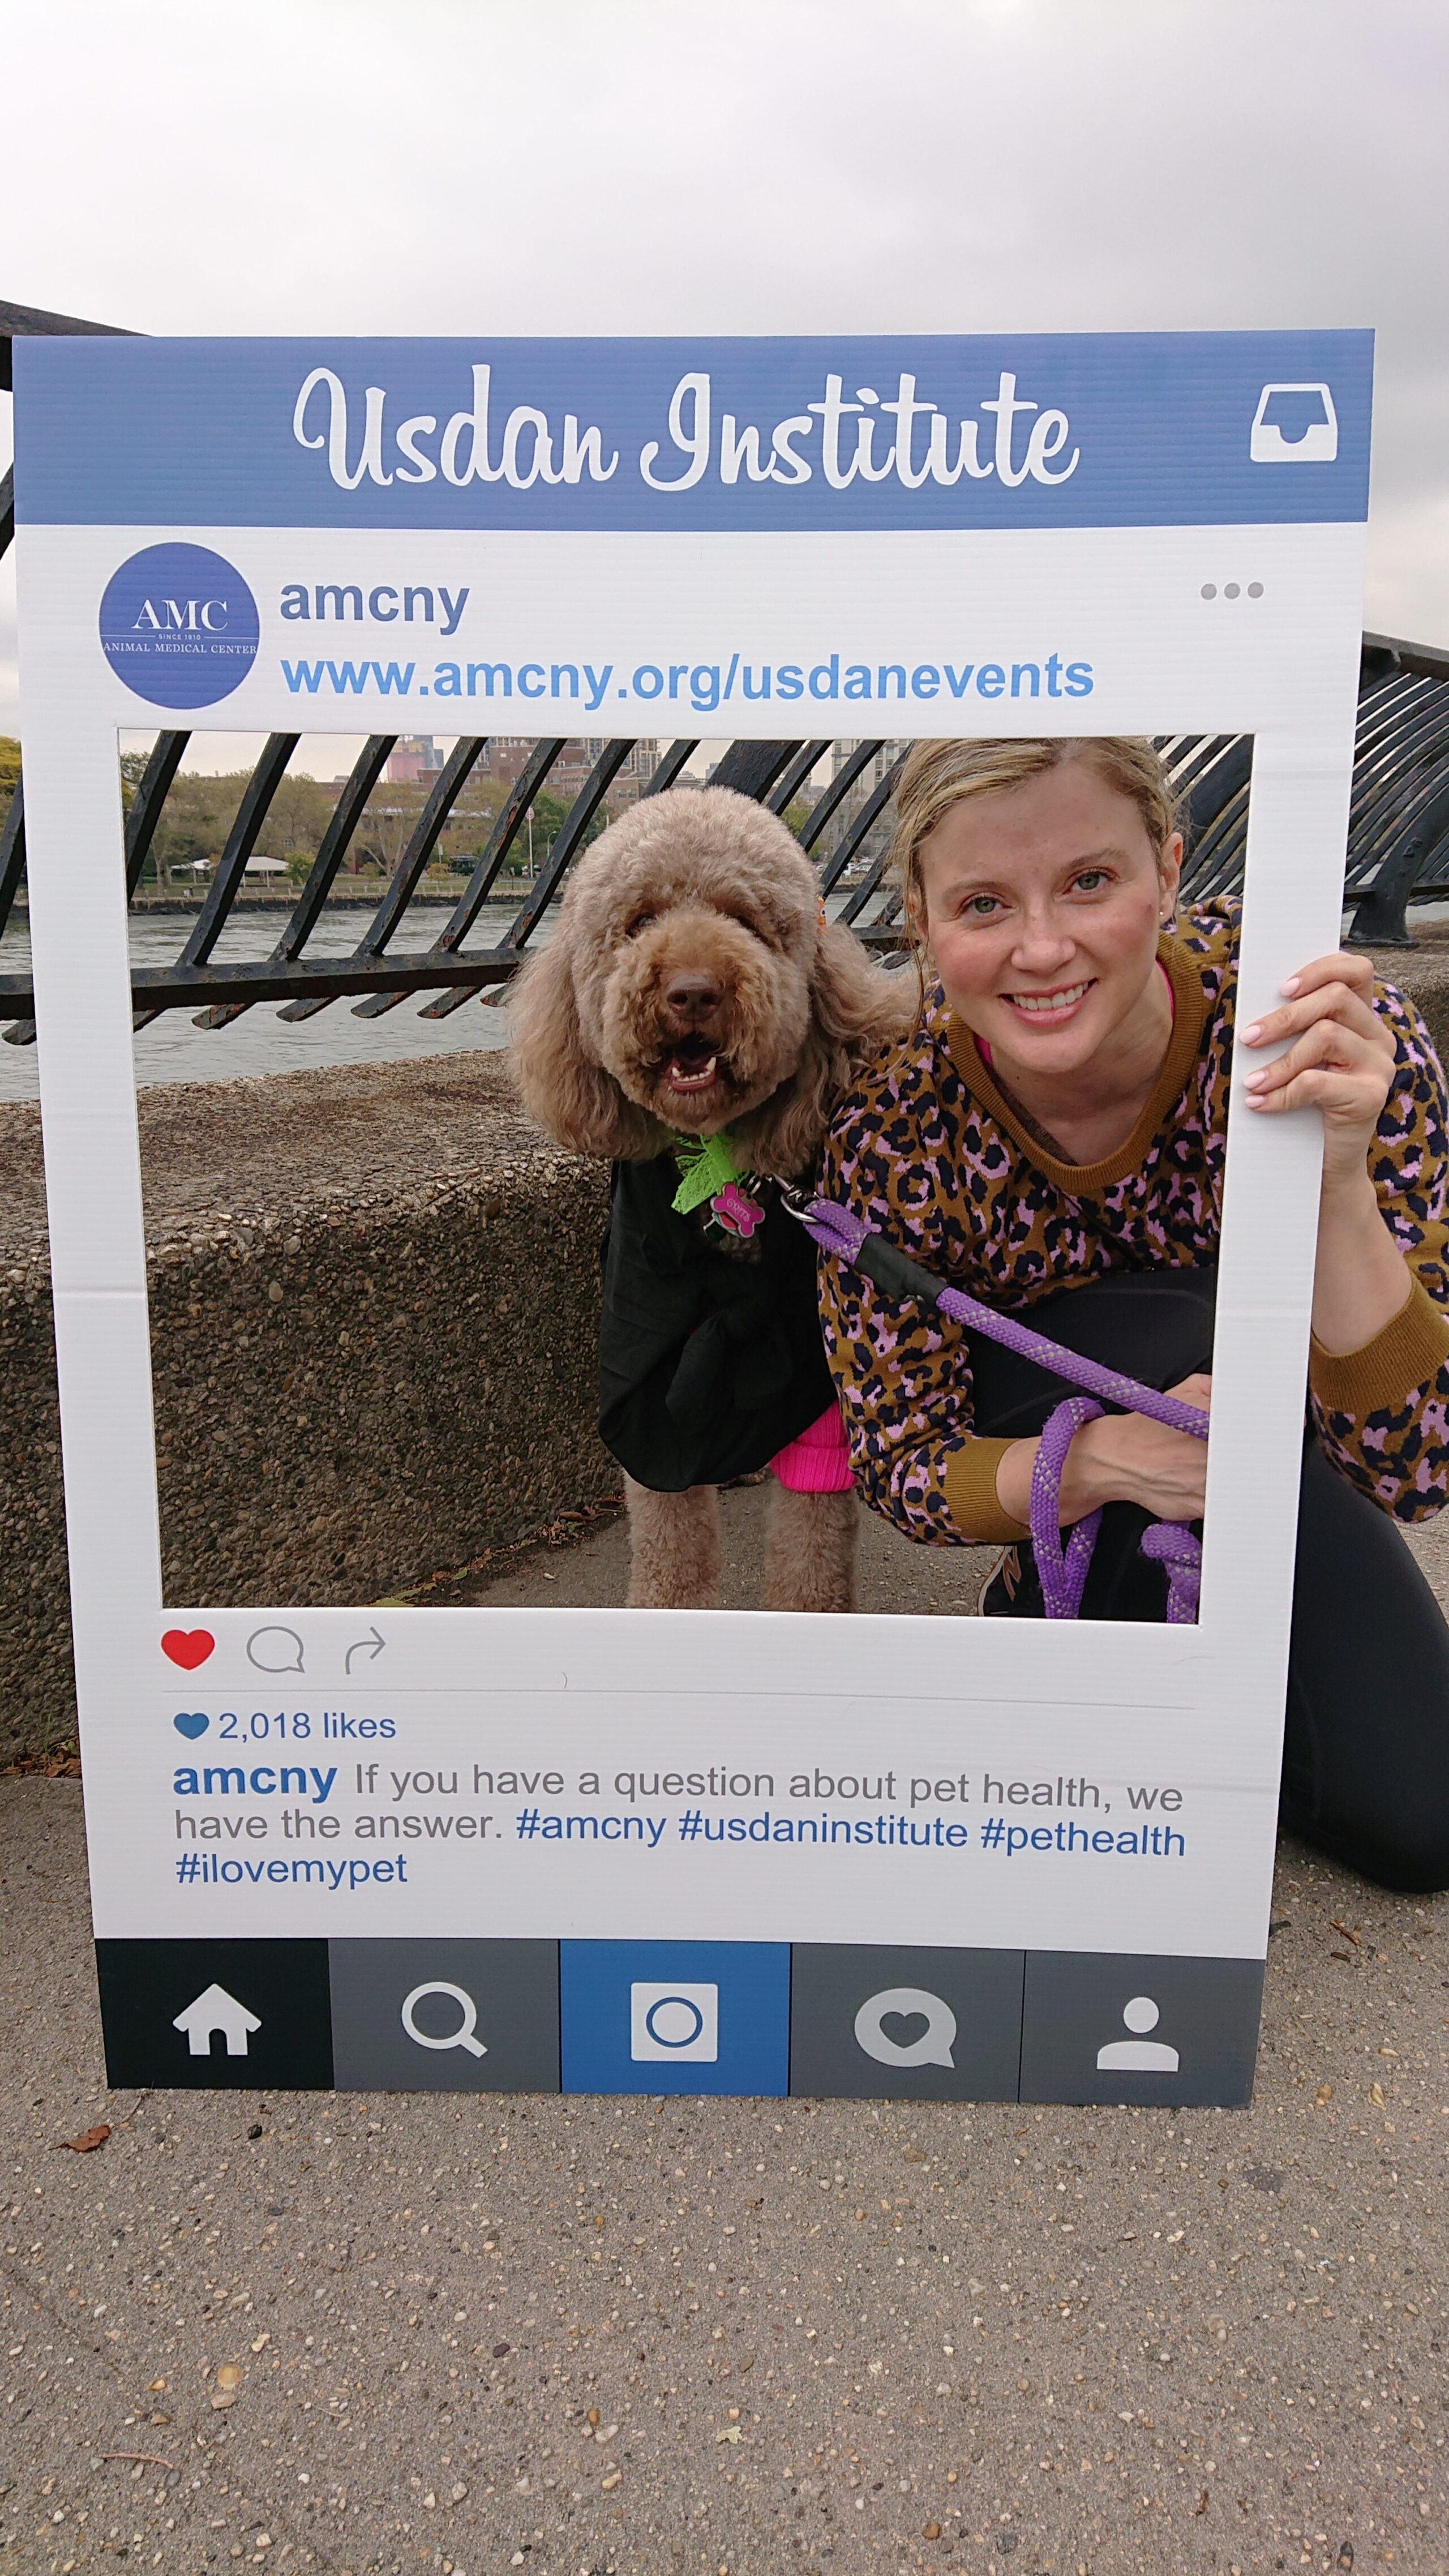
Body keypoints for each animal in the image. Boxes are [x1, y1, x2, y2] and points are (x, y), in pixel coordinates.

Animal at [512, 783, 906, 1597]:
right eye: (639, 920)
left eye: (746, 919)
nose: (692, 992)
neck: (720, 1164)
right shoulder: (645, 1390)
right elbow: (671, 1553)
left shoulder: (819, 1397)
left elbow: (809, 1567)